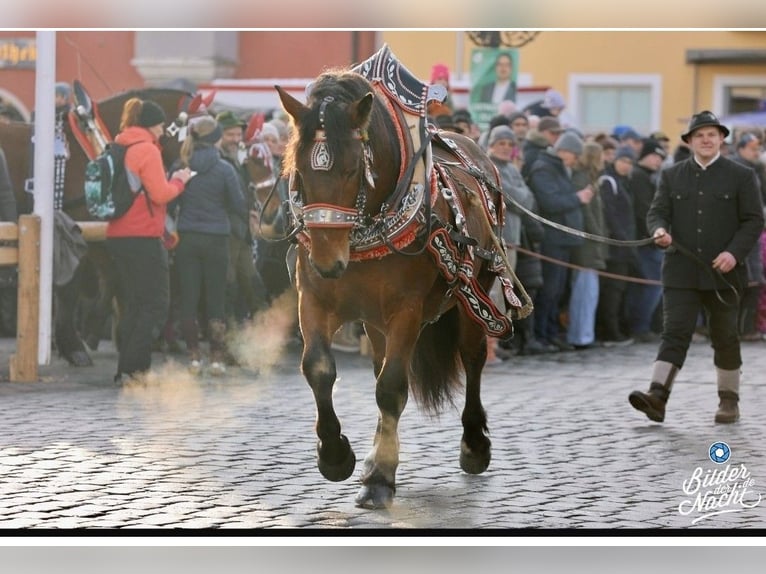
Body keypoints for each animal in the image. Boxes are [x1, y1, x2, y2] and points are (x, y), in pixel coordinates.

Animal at [0, 85, 202, 366]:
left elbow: (115, 278)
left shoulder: (98, 237)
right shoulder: (76, 234)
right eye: (194, 132)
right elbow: (71, 288)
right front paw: (75, 344)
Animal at [275, 59, 530, 508]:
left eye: (352, 169)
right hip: (374, 320)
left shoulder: (407, 309)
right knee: (380, 365)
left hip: (472, 295)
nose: (328, 262)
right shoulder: (315, 299)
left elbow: (392, 387)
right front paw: (337, 456)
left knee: (472, 357)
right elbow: (319, 368)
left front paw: (379, 477)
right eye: (298, 171)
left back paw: (474, 445)